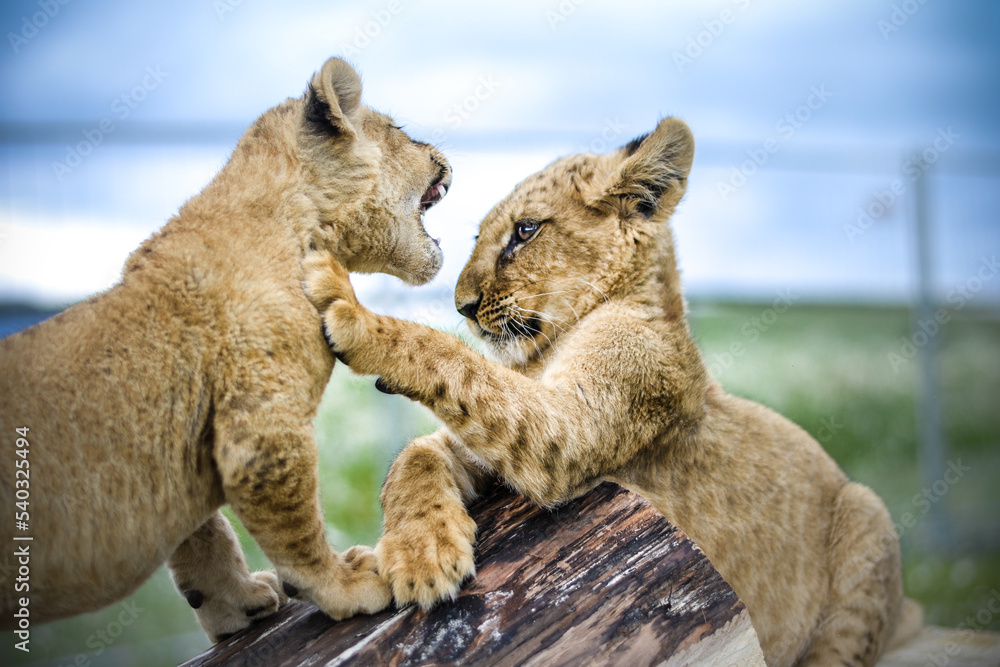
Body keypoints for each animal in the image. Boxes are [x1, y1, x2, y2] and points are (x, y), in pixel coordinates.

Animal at [0, 57, 452, 642]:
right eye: (397, 129)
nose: (441, 156)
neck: (302, 223)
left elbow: (205, 539)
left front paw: (237, 605)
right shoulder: (259, 430)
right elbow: (295, 529)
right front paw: (345, 585)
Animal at [302, 117, 923, 665]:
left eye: (525, 231)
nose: (463, 306)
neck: (547, 350)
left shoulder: (570, 429)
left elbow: (454, 361)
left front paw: (351, 309)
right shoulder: (491, 444)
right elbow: (417, 453)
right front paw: (421, 553)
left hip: (868, 517)